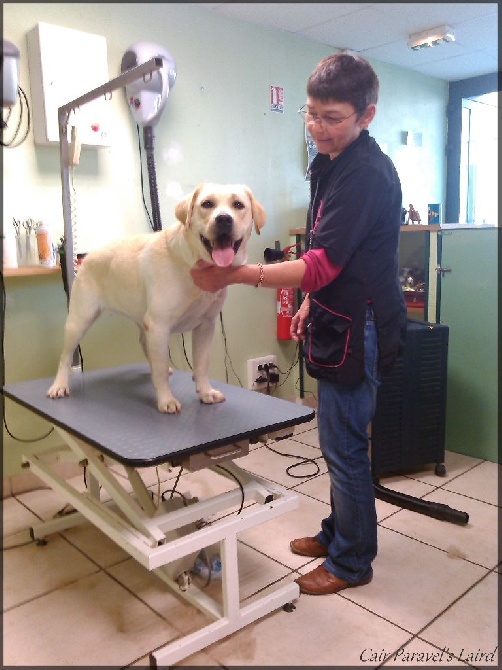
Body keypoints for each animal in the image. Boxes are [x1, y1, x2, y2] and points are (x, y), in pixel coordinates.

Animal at [47, 185, 266, 414]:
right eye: (207, 204)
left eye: (238, 205)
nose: (223, 219)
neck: (192, 263)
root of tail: (86, 257)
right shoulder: (160, 325)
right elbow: (160, 370)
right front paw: (165, 400)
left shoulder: (206, 326)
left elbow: (201, 365)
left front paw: (205, 392)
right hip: (79, 321)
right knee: (65, 358)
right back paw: (59, 385)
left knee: (146, 344)